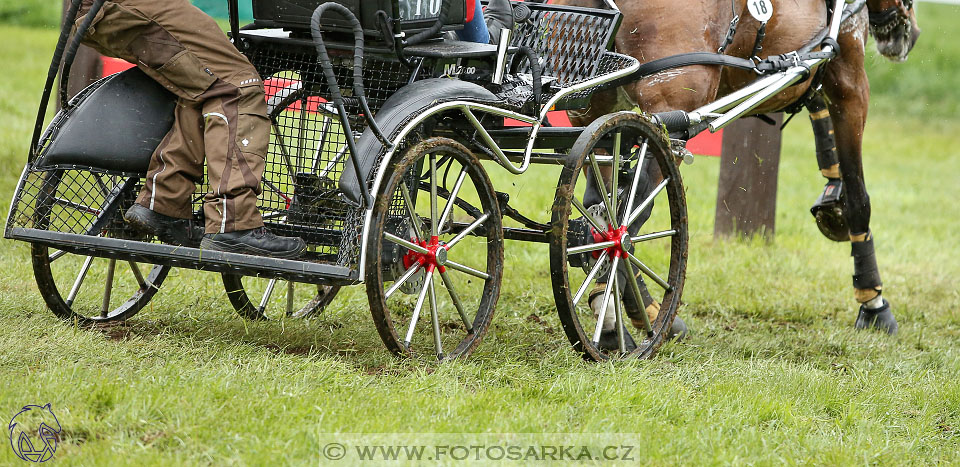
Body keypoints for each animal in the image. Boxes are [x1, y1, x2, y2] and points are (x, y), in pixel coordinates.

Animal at [556, 0, 924, 334]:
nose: (908, 32)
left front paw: (832, 203)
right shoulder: (850, 80)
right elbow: (859, 198)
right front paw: (874, 303)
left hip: (594, 118)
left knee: (599, 204)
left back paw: (631, 307)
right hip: (670, 120)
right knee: (626, 216)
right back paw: (623, 303)